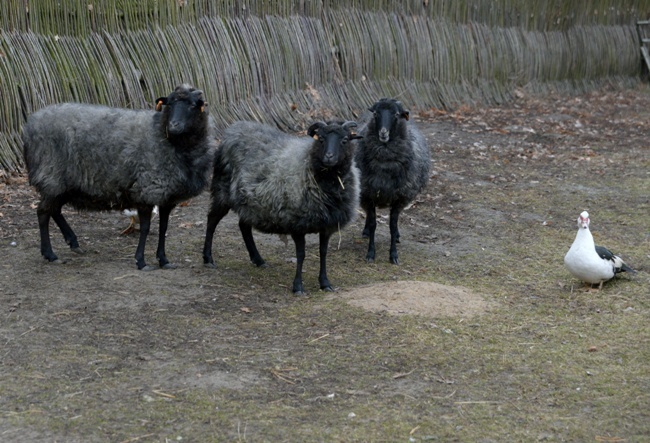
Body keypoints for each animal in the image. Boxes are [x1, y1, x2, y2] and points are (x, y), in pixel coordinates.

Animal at [22, 83, 213, 270]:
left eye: (192, 105)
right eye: (170, 104)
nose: (174, 126)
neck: (164, 135)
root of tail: (30, 124)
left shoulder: (166, 196)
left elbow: (163, 228)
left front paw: (164, 260)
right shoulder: (147, 189)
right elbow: (145, 228)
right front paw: (141, 261)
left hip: (63, 183)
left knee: (54, 210)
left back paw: (73, 242)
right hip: (51, 175)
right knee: (43, 212)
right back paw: (50, 254)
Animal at [201, 119, 360, 296]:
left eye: (345, 140)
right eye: (321, 139)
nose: (329, 157)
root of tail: (234, 129)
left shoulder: (327, 225)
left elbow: (323, 252)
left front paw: (325, 283)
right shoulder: (297, 222)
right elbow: (301, 254)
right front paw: (298, 287)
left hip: (249, 202)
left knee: (243, 226)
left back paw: (258, 259)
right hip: (222, 190)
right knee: (212, 221)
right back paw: (208, 258)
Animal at [352, 98, 428, 264]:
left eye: (396, 114)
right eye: (375, 113)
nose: (383, 132)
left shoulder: (399, 198)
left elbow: (393, 226)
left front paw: (393, 255)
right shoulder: (368, 194)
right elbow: (373, 223)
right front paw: (370, 253)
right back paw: (366, 231)